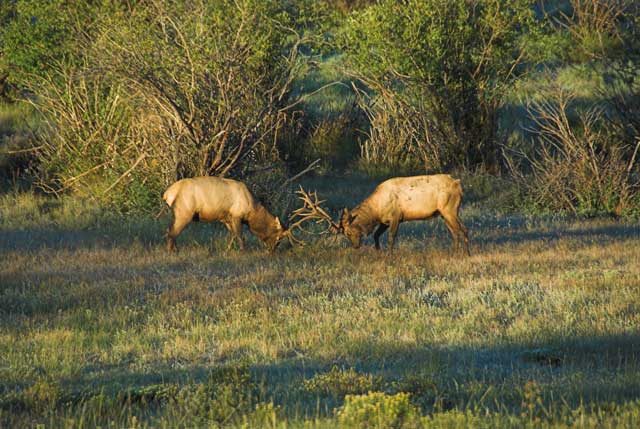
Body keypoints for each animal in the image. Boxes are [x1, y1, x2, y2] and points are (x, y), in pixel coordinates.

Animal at [164, 176, 296, 252]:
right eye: (279, 236)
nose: (272, 250)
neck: (252, 211)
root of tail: (167, 194)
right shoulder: (237, 216)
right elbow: (240, 235)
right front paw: (243, 251)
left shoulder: (226, 218)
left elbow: (232, 235)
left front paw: (228, 249)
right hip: (184, 212)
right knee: (172, 232)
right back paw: (172, 251)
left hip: (179, 214)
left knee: (171, 230)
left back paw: (175, 249)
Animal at [338, 175, 468, 254]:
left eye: (348, 232)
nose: (355, 246)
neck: (376, 212)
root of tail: (459, 185)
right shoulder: (385, 221)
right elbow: (376, 235)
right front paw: (379, 251)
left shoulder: (395, 216)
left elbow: (391, 237)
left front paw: (389, 255)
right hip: (444, 213)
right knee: (458, 231)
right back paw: (457, 253)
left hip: (449, 209)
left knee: (461, 230)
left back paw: (464, 255)